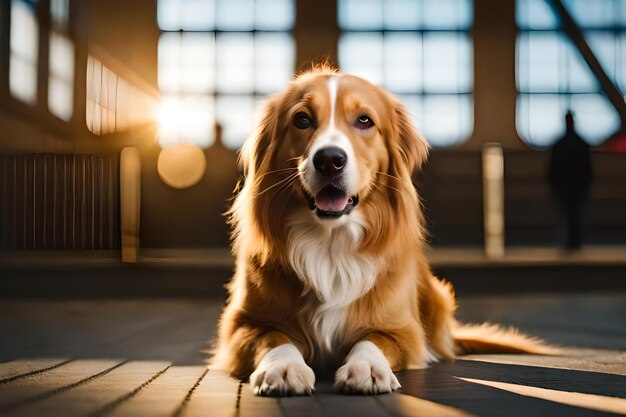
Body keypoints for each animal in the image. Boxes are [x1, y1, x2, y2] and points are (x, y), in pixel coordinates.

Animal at [210, 66, 552, 394]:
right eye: (302, 120)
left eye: (364, 120)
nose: (329, 160)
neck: (331, 242)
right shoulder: (243, 324)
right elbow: (274, 337)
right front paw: (283, 367)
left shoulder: (403, 329)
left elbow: (373, 339)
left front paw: (367, 368)